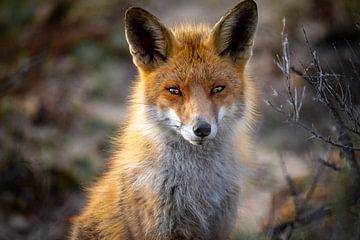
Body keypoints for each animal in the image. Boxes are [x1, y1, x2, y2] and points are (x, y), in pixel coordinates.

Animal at [68, 0, 258, 239]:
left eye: (217, 89)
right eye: (174, 90)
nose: (202, 129)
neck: (196, 192)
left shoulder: (219, 227)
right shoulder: (161, 230)